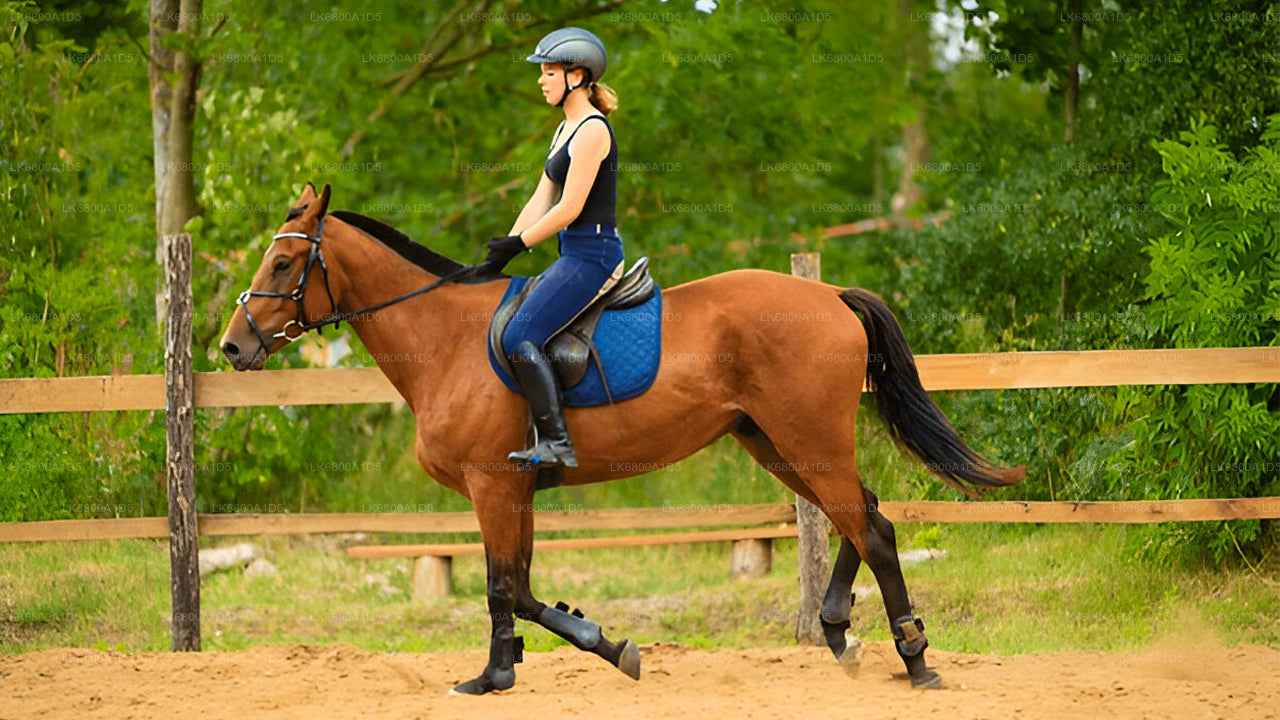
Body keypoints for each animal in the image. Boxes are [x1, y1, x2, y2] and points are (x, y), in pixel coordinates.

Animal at [219, 183, 1026, 694]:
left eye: (283, 263)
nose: (233, 347)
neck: (444, 338)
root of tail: (827, 293)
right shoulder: (515, 490)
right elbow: (518, 588)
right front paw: (549, 658)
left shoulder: (491, 485)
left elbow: (504, 587)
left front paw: (538, 663)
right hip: (775, 444)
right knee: (862, 517)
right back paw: (838, 634)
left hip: (808, 440)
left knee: (873, 529)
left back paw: (916, 660)